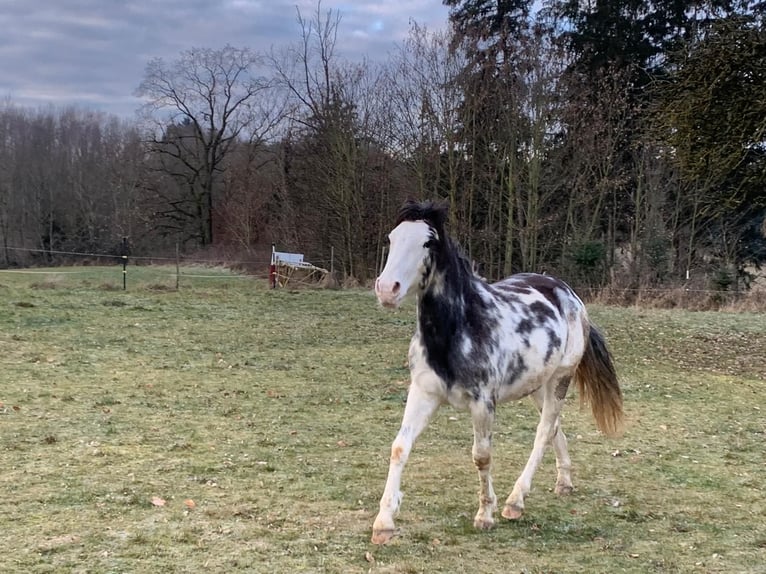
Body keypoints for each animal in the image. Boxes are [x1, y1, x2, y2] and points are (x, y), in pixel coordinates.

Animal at [370, 200, 624, 548]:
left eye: (428, 242)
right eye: (392, 238)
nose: (387, 289)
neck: (460, 327)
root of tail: (569, 295)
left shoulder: (482, 403)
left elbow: (482, 456)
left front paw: (485, 515)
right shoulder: (423, 393)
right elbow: (399, 447)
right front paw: (383, 523)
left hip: (560, 380)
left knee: (543, 432)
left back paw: (515, 502)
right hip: (538, 386)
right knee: (555, 428)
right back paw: (564, 483)